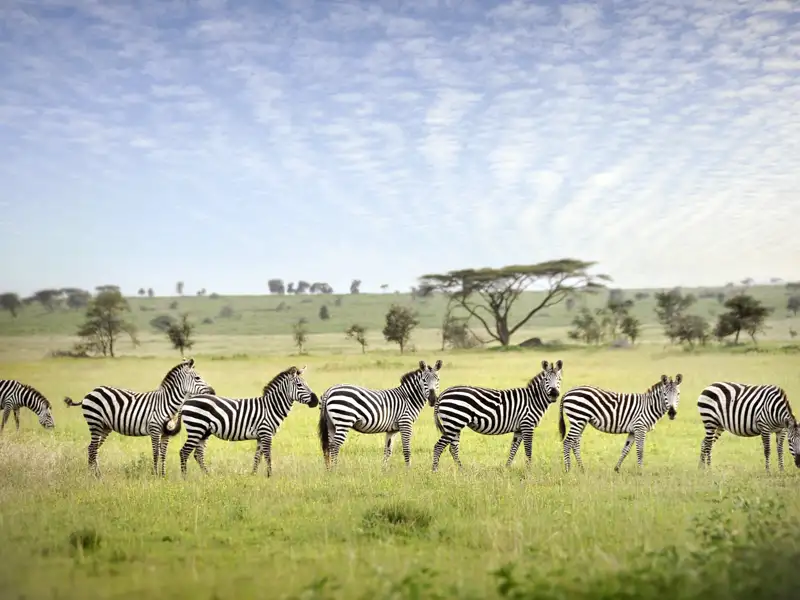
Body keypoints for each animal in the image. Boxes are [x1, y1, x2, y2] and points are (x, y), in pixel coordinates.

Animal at [63, 358, 215, 477]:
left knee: (92, 448)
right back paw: (95, 475)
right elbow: (156, 453)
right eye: (197, 378)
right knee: (93, 448)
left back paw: (93, 474)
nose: (213, 392)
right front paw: (155, 475)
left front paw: (163, 475)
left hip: (104, 427)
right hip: (95, 422)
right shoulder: (154, 429)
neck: (166, 403)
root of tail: (91, 392)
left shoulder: (166, 433)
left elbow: (163, 453)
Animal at [174, 365, 319, 477]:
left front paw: (253, 475)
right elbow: (268, 456)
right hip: (196, 428)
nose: (316, 401)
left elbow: (257, 457)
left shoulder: (260, 436)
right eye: (299, 385)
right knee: (184, 452)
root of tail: (187, 401)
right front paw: (270, 475)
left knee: (198, 454)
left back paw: (208, 475)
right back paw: (185, 478)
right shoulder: (266, 433)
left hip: (204, 431)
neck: (271, 407)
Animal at [431, 359, 563, 472]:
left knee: (453, 448)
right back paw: (435, 471)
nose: (554, 393)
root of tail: (443, 393)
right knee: (439, 446)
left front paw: (507, 468)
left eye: (559, 379)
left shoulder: (519, 429)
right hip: (454, 423)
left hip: (455, 425)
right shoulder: (527, 425)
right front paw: (529, 470)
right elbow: (528, 449)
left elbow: (513, 448)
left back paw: (461, 470)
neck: (533, 399)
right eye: (546, 379)